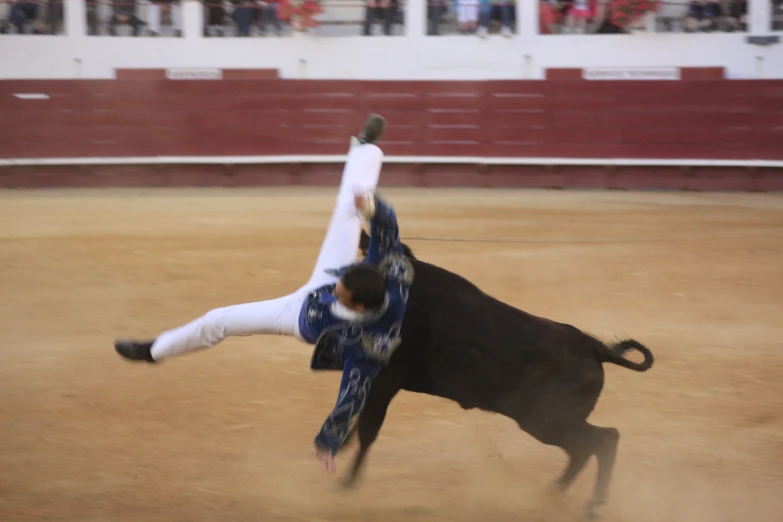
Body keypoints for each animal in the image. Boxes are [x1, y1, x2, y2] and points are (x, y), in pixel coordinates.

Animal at [312, 233, 656, 516]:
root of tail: (594, 346)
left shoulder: (386, 380)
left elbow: (368, 428)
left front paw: (345, 483)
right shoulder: (376, 381)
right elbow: (359, 421)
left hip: (546, 420)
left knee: (600, 440)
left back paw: (586, 503)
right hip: (549, 421)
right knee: (588, 447)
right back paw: (555, 494)